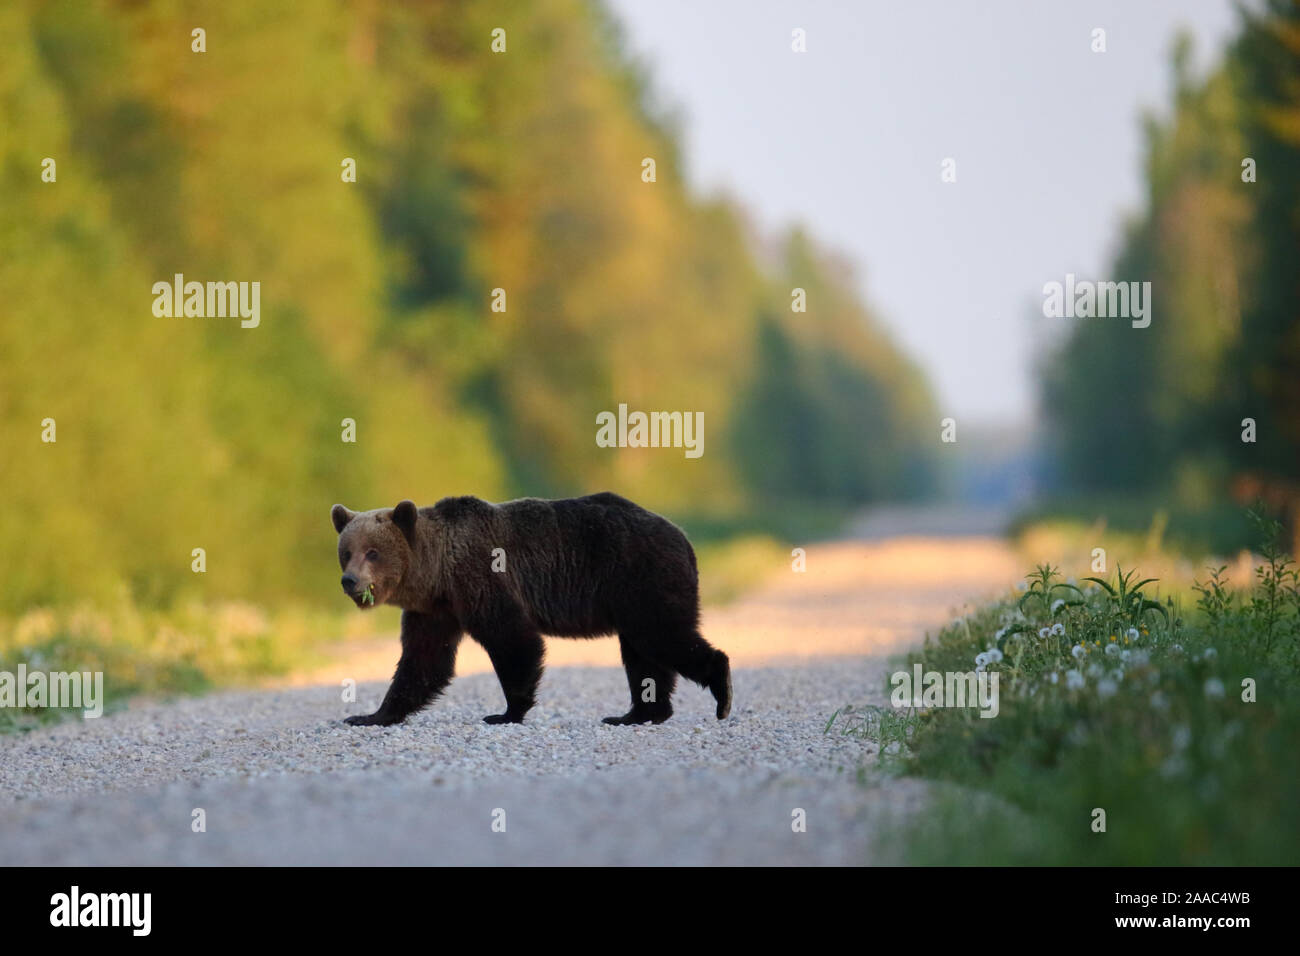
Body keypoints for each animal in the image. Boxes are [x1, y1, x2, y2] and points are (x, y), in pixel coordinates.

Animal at [330, 494, 733, 723]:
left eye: (373, 552)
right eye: (346, 552)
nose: (349, 581)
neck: (438, 572)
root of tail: (684, 538)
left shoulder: (483, 580)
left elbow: (513, 639)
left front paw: (506, 712)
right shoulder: (435, 610)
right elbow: (424, 660)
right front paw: (371, 715)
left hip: (642, 578)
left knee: (662, 637)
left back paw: (721, 693)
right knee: (643, 656)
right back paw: (636, 714)